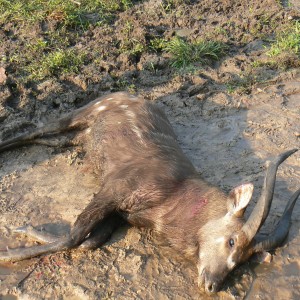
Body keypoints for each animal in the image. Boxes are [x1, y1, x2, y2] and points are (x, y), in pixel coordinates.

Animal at [0, 92, 298, 292]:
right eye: (232, 241)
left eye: (245, 260)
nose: (213, 285)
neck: (173, 196)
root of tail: (128, 94)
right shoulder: (114, 190)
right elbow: (74, 237)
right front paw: (10, 248)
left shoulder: (119, 213)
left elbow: (90, 241)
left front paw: (24, 232)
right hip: (81, 113)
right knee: (37, 129)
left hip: (78, 138)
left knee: (49, 140)